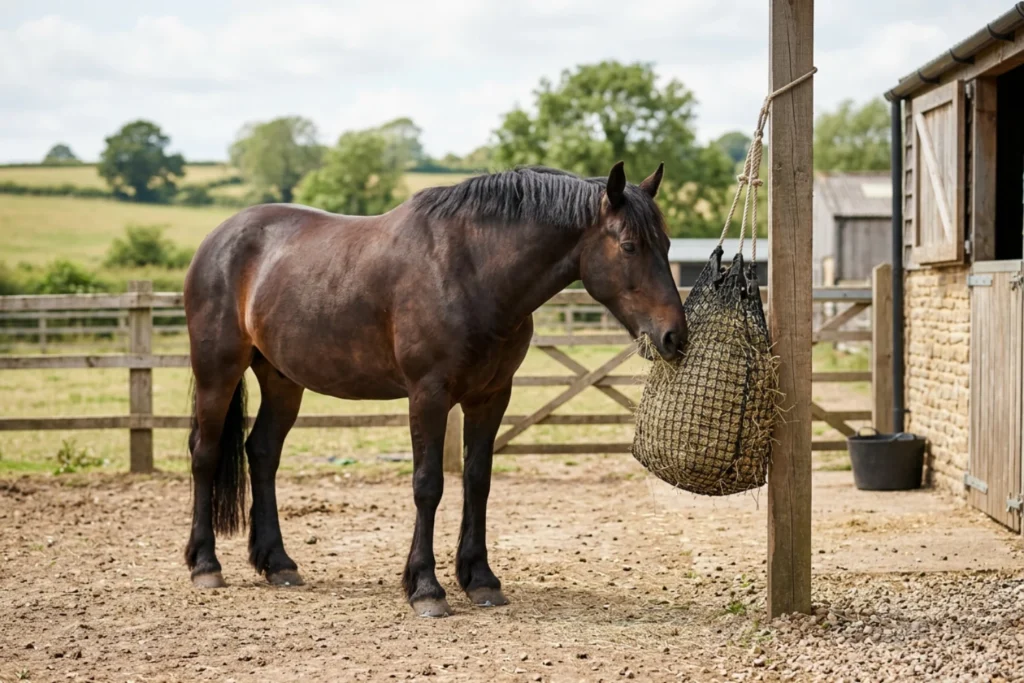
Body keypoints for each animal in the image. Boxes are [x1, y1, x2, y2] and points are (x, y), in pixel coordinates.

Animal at [182, 161, 686, 617]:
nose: (674, 337)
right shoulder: (428, 395)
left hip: (282, 379)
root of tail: (219, 238)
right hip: (217, 370)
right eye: (629, 246)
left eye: (665, 244)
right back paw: (205, 564)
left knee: (263, 453)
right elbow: (428, 484)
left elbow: (478, 481)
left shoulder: (491, 396)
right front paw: (426, 587)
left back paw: (278, 563)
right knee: (205, 452)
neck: (472, 271)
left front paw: (481, 580)